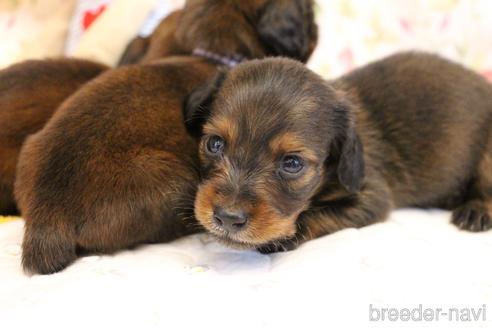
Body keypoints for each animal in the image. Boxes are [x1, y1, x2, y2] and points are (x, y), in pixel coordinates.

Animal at [184, 53, 492, 252]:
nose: (227, 218)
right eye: (214, 144)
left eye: (292, 163)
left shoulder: (371, 195)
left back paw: (476, 211)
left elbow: (317, 214)